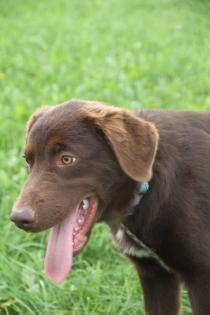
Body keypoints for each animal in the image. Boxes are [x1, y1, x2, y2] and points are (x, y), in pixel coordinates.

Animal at [10, 100, 210, 315]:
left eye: (67, 159)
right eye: (28, 161)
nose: (18, 218)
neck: (146, 186)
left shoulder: (201, 279)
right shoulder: (155, 275)